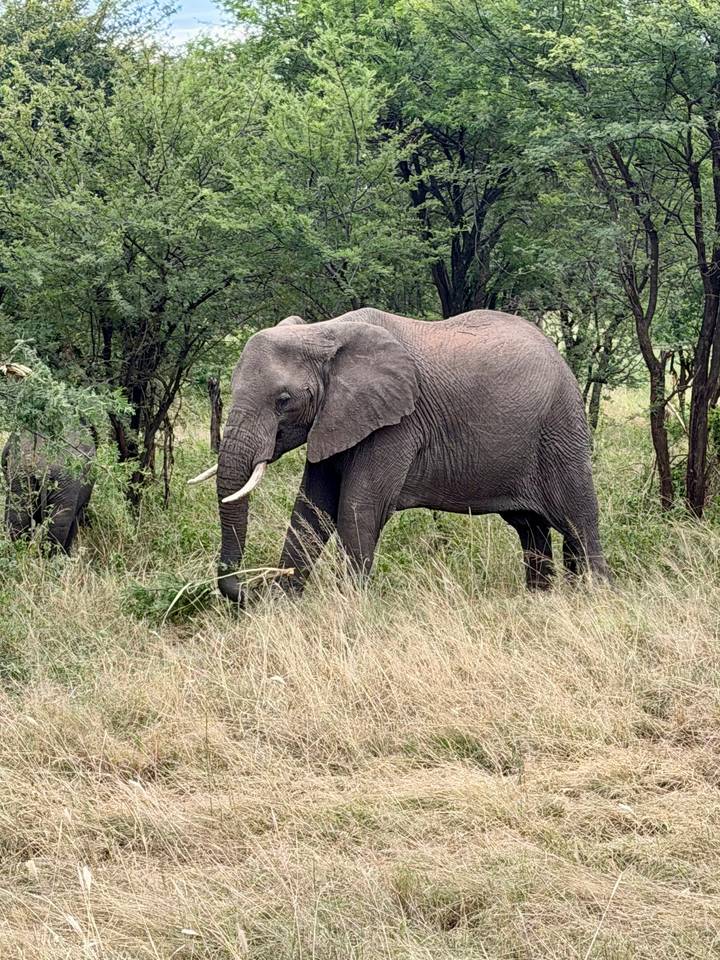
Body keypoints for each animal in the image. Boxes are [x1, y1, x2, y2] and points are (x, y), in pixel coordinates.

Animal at [188, 308, 609, 605]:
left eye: (283, 400)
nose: (250, 590)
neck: (325, 331)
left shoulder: (397, 423)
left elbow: (358, 508)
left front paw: (349, 608)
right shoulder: (336, 418)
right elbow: (310, 509)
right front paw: (284, 605)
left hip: (561, 429)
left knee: (578, 521)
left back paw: (592, 598)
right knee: (531, 528)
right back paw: (541, 600)